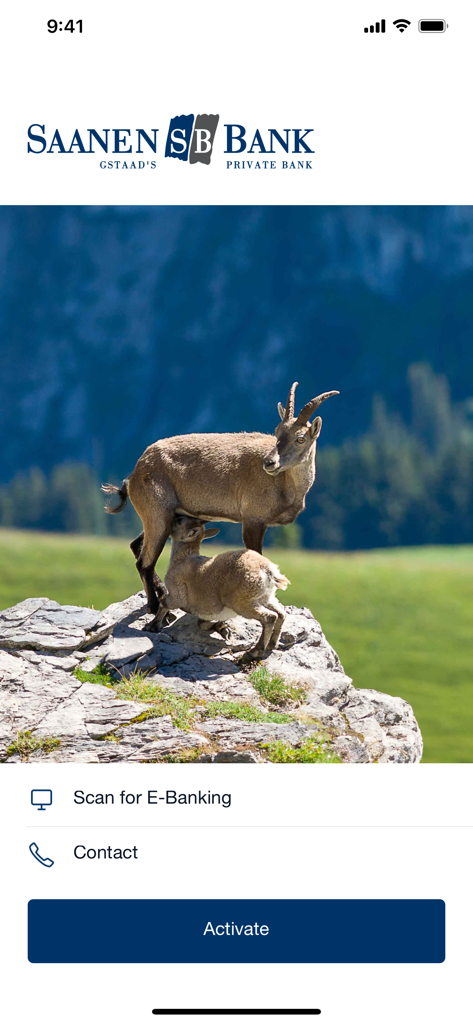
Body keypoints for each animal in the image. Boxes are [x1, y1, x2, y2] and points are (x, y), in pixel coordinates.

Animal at [102, 381, 338, 625]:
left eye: (300, 438)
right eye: (277, 432)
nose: (269, 462)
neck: (285, 484)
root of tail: (135, 473)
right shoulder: (253, 520)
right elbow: (256, 553)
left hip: (162, 516)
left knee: (136, 546)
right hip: (157, 514)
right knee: (145, 562)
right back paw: (155, 608)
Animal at [156, 515, 290, 658]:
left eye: (179, 521)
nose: (175, 516)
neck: (182, 559)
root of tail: (268, 570)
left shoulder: (177, 594)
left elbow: (164, 603)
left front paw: (152, 626)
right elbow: (203, 623)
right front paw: (222, 629)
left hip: (243, 602)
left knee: (270, 617)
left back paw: (255, 651)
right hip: (266, 598)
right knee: (281, 614)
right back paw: (272, 644)